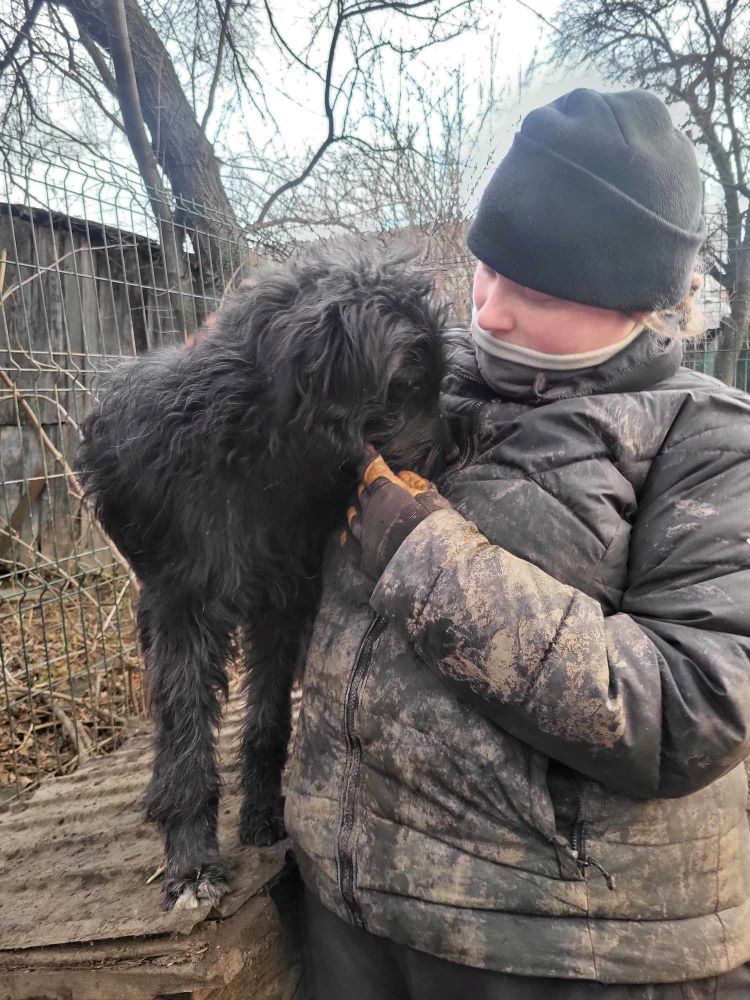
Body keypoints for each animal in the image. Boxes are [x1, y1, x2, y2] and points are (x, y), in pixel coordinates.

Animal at [78, 240, 452, 908]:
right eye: (407, 385)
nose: (456, 443)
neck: (261, 456)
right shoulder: (180, 604)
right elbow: (184, 734)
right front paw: (191, 861)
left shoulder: (284, 602)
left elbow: (268, 722)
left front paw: (261, 816)